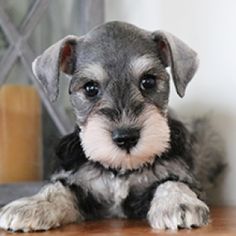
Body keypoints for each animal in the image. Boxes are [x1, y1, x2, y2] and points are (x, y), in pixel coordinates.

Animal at [0, 21, 225, 231]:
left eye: (149, 81)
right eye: (90, 88)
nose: (126, 138)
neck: (121, 168)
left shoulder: (177, 173)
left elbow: (172, 182)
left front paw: (179, 203)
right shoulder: (79, 181)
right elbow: (58, 188)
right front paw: (31, 205)